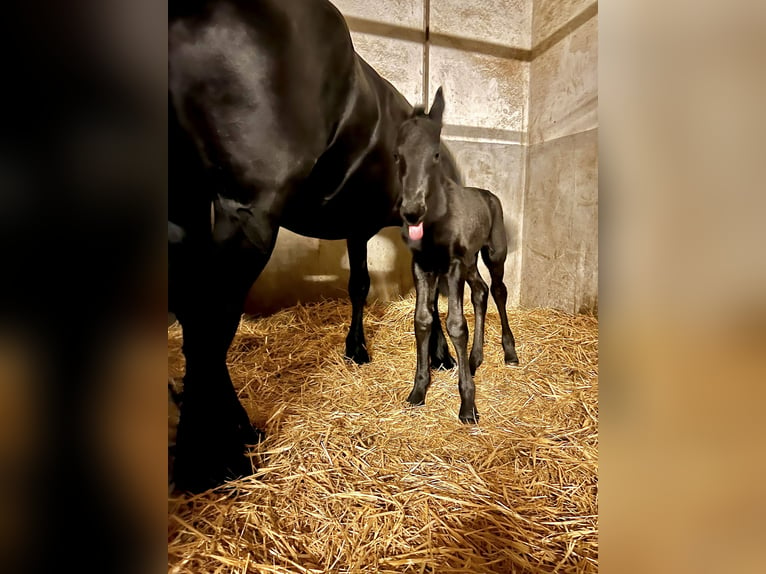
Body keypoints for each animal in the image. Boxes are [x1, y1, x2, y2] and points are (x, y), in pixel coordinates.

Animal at [170, 1, 462, 496]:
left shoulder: (358, 228)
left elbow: (361, 285)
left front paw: (360, 349)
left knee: (198, 313)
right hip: (243, 210)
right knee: (209, 319)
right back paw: (217, 453)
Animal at [396, 88, 520, 426]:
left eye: (436, 154)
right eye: (398, 155)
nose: (412, 211)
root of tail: (488, 195)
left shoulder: (451, 267)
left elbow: (455, 325)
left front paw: (467, 405)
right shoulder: (422, 267)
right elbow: (423, 320)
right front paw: (418, 391)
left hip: (493, 254)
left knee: (498, 290)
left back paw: (510, 353)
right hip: (470, 262)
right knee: (480, 291)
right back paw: (475, 358)